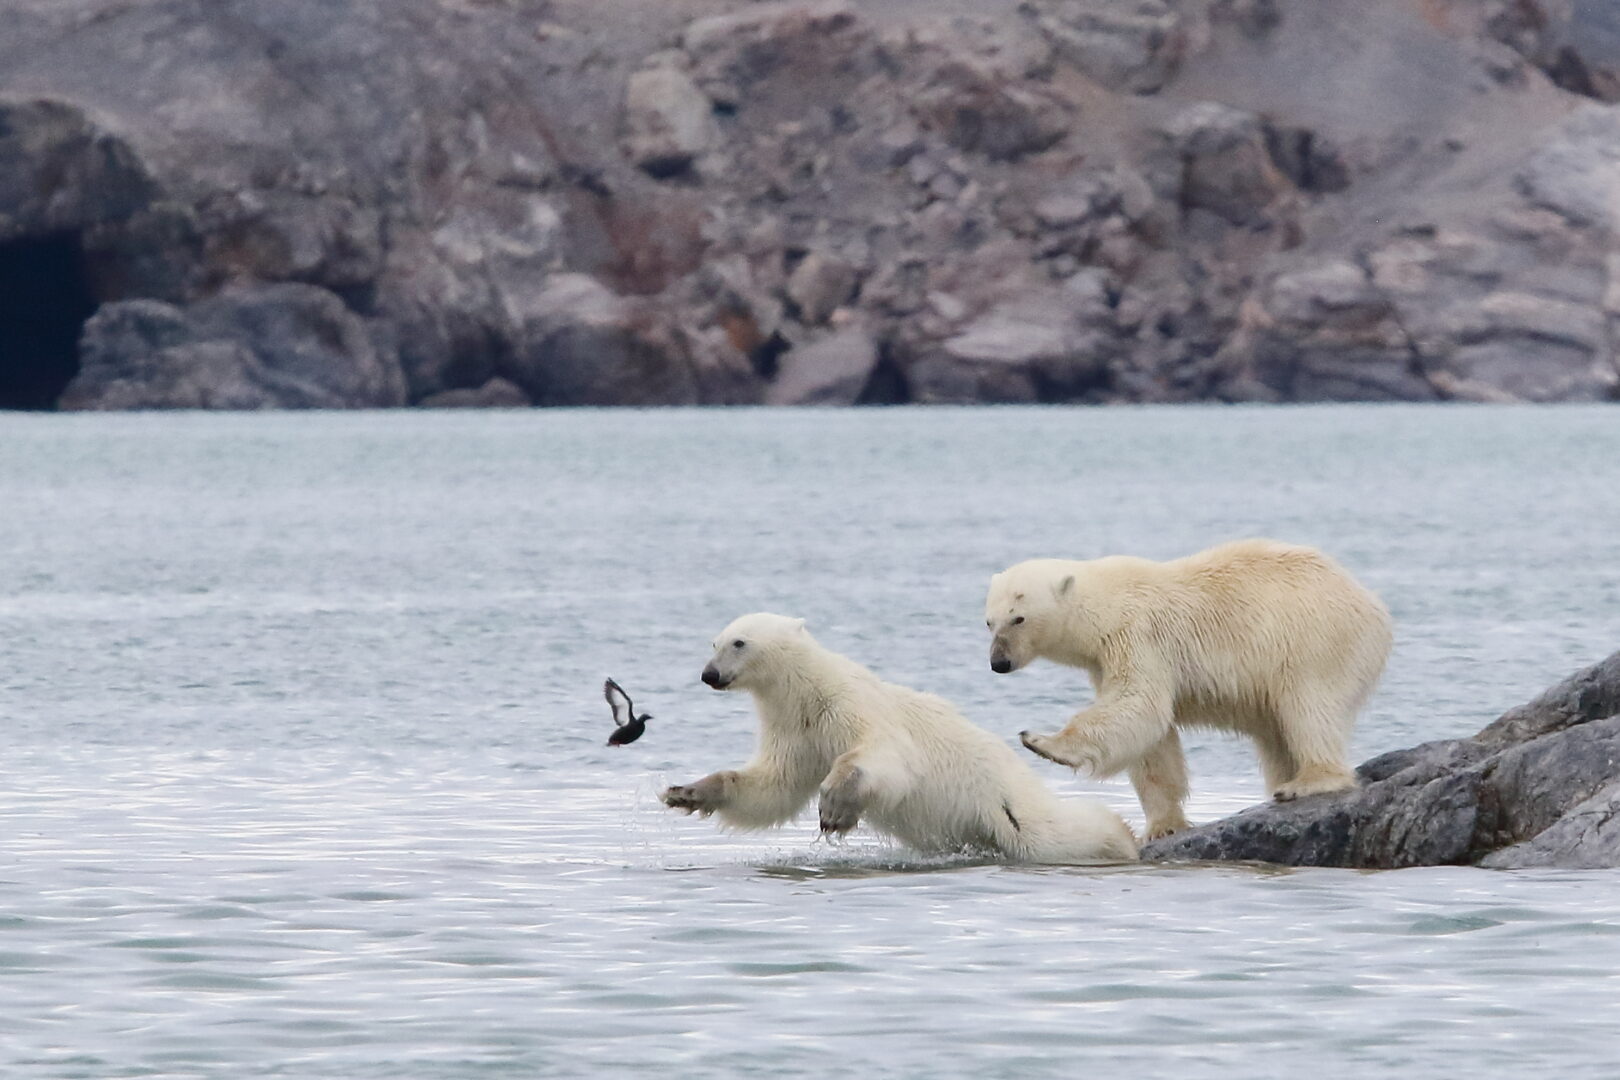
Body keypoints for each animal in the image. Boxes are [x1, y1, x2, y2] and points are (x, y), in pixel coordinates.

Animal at [661, 613, 1138, 863]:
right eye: (715, 642)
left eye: (739, 642)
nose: (709, 675)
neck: (807, 691)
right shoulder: (796, 731)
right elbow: (772, 787)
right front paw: (685, 792)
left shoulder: (849, 705)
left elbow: (884, 759)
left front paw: (834, 809)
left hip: (1005, 803)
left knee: (1052, 834)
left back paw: (1119, 834)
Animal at [984, 539, 1392, 840]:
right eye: (989, 621)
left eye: (1018, 618)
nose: (998, 663)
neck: (1106, 603)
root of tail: (1373, 604)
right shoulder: (1104, 660)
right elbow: (1154, 744)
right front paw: (1163, 826)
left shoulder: (1137, 636)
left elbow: (1139, 705)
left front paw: (1042, 741)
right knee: (1277, 733)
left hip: (1315, 639)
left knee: (1308, 707)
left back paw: (1307, 782)